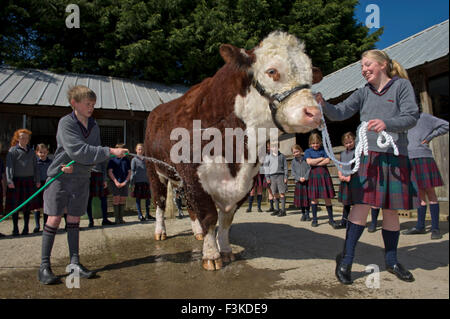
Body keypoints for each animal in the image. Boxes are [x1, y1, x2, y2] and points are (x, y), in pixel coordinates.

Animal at [144, 31, 324, 272]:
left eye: (310, 78)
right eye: (272, 71)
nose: (314, 112)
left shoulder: (245, 180)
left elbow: (226, 220)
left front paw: (226, 250)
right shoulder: (194, 176)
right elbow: (209, 216)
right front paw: (212, 255)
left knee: (189, 205)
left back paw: (197, 233)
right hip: (155, 171)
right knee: (160, 202)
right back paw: (160, 231)